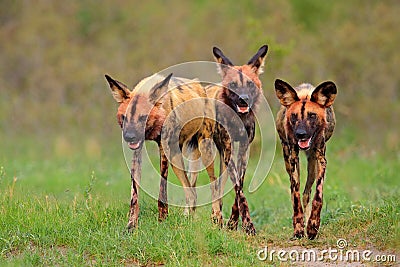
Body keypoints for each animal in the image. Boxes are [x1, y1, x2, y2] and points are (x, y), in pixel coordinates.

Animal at [206, 45, 268, 236]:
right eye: (233, 85)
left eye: (250, 84)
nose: (243, 99)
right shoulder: (228, 149)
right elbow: (239, 191)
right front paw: (248, 224)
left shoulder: (243, 149)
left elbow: (238, 186)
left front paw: (233, 222)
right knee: (211, 186)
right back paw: (213, 217)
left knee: (219, 186)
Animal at [274, 78, 336, 240]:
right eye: (294, 116)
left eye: (312, 115)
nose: (300, 134)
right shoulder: (293, 159)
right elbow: (295, 195)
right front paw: (298, 228)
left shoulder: (321, 159)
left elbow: (318, 196)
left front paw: (313, 225)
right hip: (288, 161)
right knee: (295, 191)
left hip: (312, 166)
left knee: (307, 193)